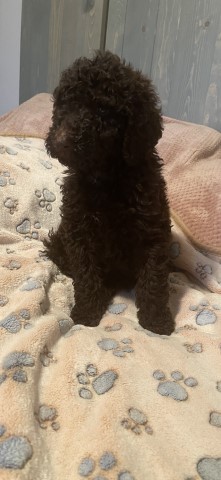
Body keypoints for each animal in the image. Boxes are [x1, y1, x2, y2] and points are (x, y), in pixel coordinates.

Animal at [45, 49, 174, 334]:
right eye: (65, 104)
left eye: (104, 109)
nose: (60, 141)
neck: (105, 179)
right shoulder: (78, 230)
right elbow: (85, 273)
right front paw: (87, 312)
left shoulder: (153, 231)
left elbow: (154, 279)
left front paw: (156, 321)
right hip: (59, 240)